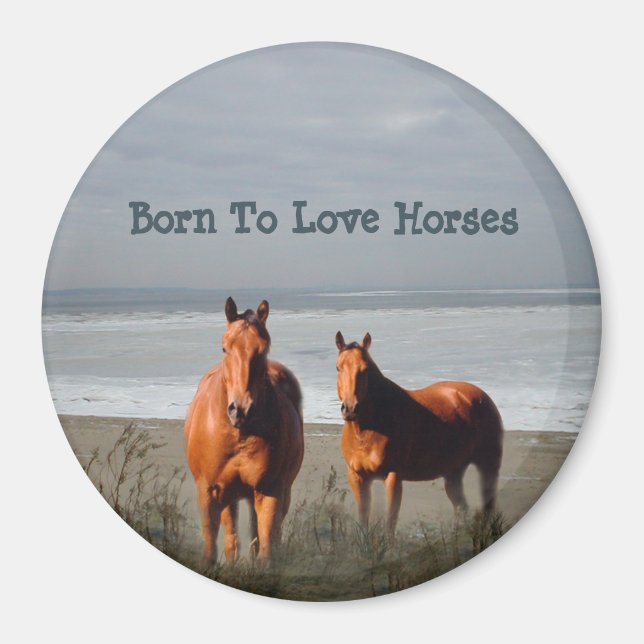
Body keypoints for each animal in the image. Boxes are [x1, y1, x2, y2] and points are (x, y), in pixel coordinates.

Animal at [185, 297, 304, 563]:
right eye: (224, 348)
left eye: (263, 349)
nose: (240, 410)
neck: (238, 436)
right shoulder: (209, 491)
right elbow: (214, 546)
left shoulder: (269, 490)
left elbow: (266, 548)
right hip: (229, 495)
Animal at [335, 331, 503, 536]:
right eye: (338, 368)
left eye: (365, 369)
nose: (351, 409)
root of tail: (481, 396)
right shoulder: (357, 477)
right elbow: (363, 519)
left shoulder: (393, 477)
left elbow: (390, 522)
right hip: (453, 473)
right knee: (461, 508)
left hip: (488, 467)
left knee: (487, 506)